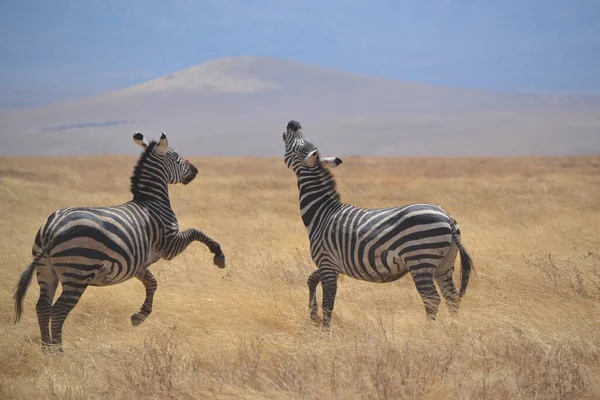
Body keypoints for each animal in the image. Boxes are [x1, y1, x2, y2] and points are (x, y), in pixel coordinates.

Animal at [12, 133, 226, 352]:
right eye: (176, 157)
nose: (195, 170)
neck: (151, 202)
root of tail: (53, 229)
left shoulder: (136, 261)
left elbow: (152, 282)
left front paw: (139, 317)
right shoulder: (170, 244)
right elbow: (196, 232)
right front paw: (218, 255)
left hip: (46, 270)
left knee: (43, 306)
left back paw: (46, 349)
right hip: (77, 272)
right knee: (59, 310)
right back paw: (58, 351)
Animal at [282, 121, 474, 328]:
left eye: (297, 145)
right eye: (302, 139)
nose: (293, 123)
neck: (322, 213)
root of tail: (447, 216)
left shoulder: (327, 262)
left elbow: (328, 302)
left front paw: (325, 330)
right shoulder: (331, 265)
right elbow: (311, 279)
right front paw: (313, 315)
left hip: (420, 259)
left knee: (432, 299)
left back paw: (428, 332)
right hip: (445, 263)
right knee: (451, 297)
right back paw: (452, 329)